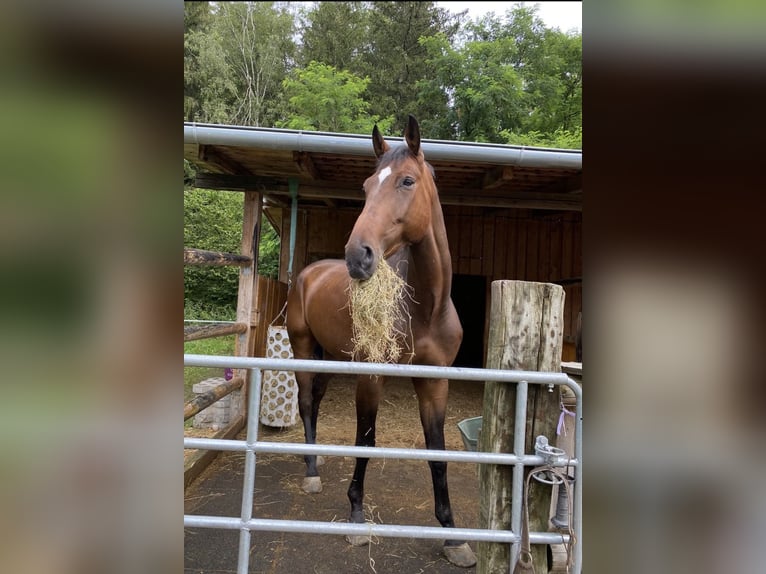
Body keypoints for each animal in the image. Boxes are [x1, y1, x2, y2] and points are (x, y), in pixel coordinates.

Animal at [285, 115, 476, 567]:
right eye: (367, 186)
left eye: (407, 181)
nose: (358, 256)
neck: (425, 309)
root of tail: (308, 273)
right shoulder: (372, 377)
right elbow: (366, 441)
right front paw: (356, 516)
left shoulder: (434, 381)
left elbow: (438, 455)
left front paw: (452, 536)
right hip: (302, 347)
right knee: (305, 402)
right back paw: (312, 472)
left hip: (330, 357)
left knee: (316, 401)